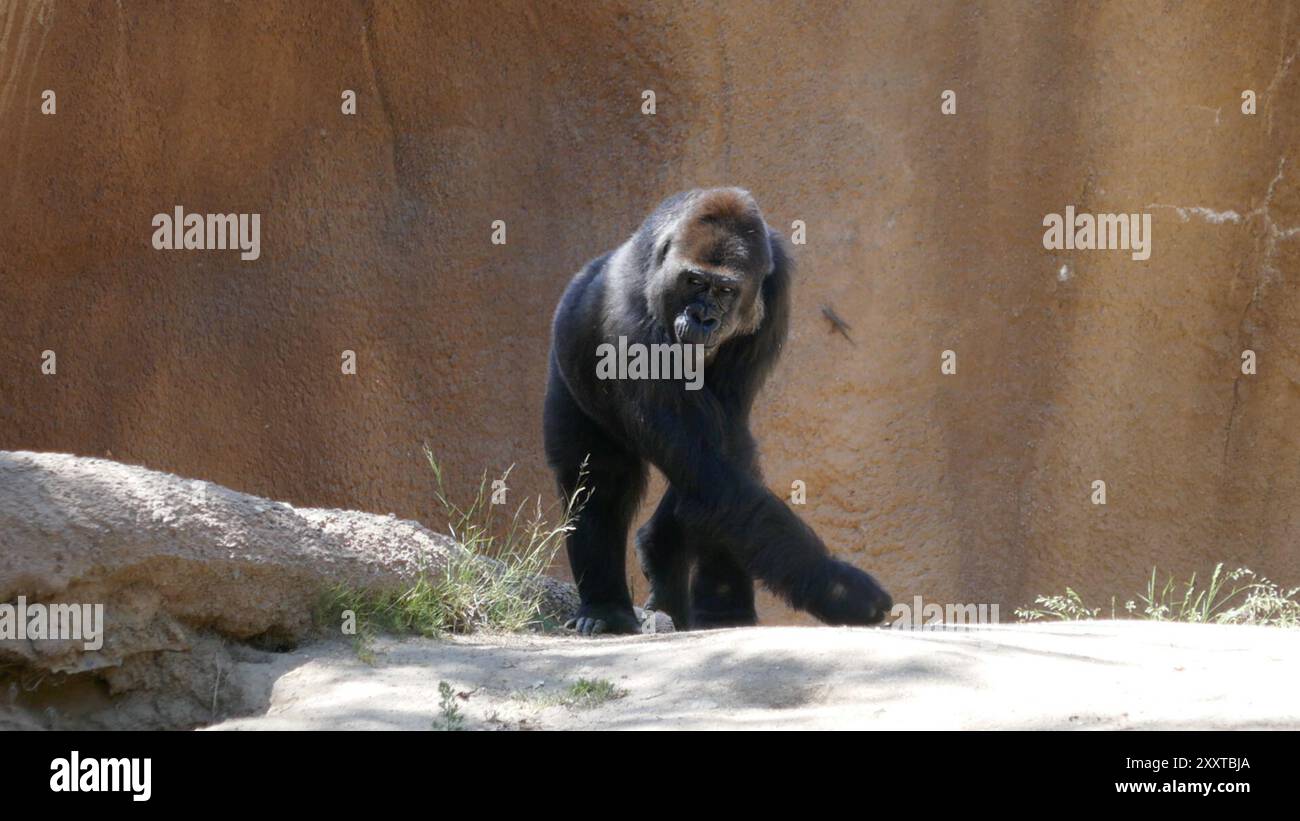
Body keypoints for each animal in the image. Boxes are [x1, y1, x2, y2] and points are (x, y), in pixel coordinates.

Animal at [544, 188, 892, 635]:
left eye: (726, 290)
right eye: (693, 281)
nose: (703, 318)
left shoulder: (775, 287)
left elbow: (724, 456)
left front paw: (722, 600)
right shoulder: (630, 332)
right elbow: (711, 472)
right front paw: (839, 589)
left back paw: (672, 571)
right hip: (566, 362)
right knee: (601, 480)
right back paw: (607, 609)